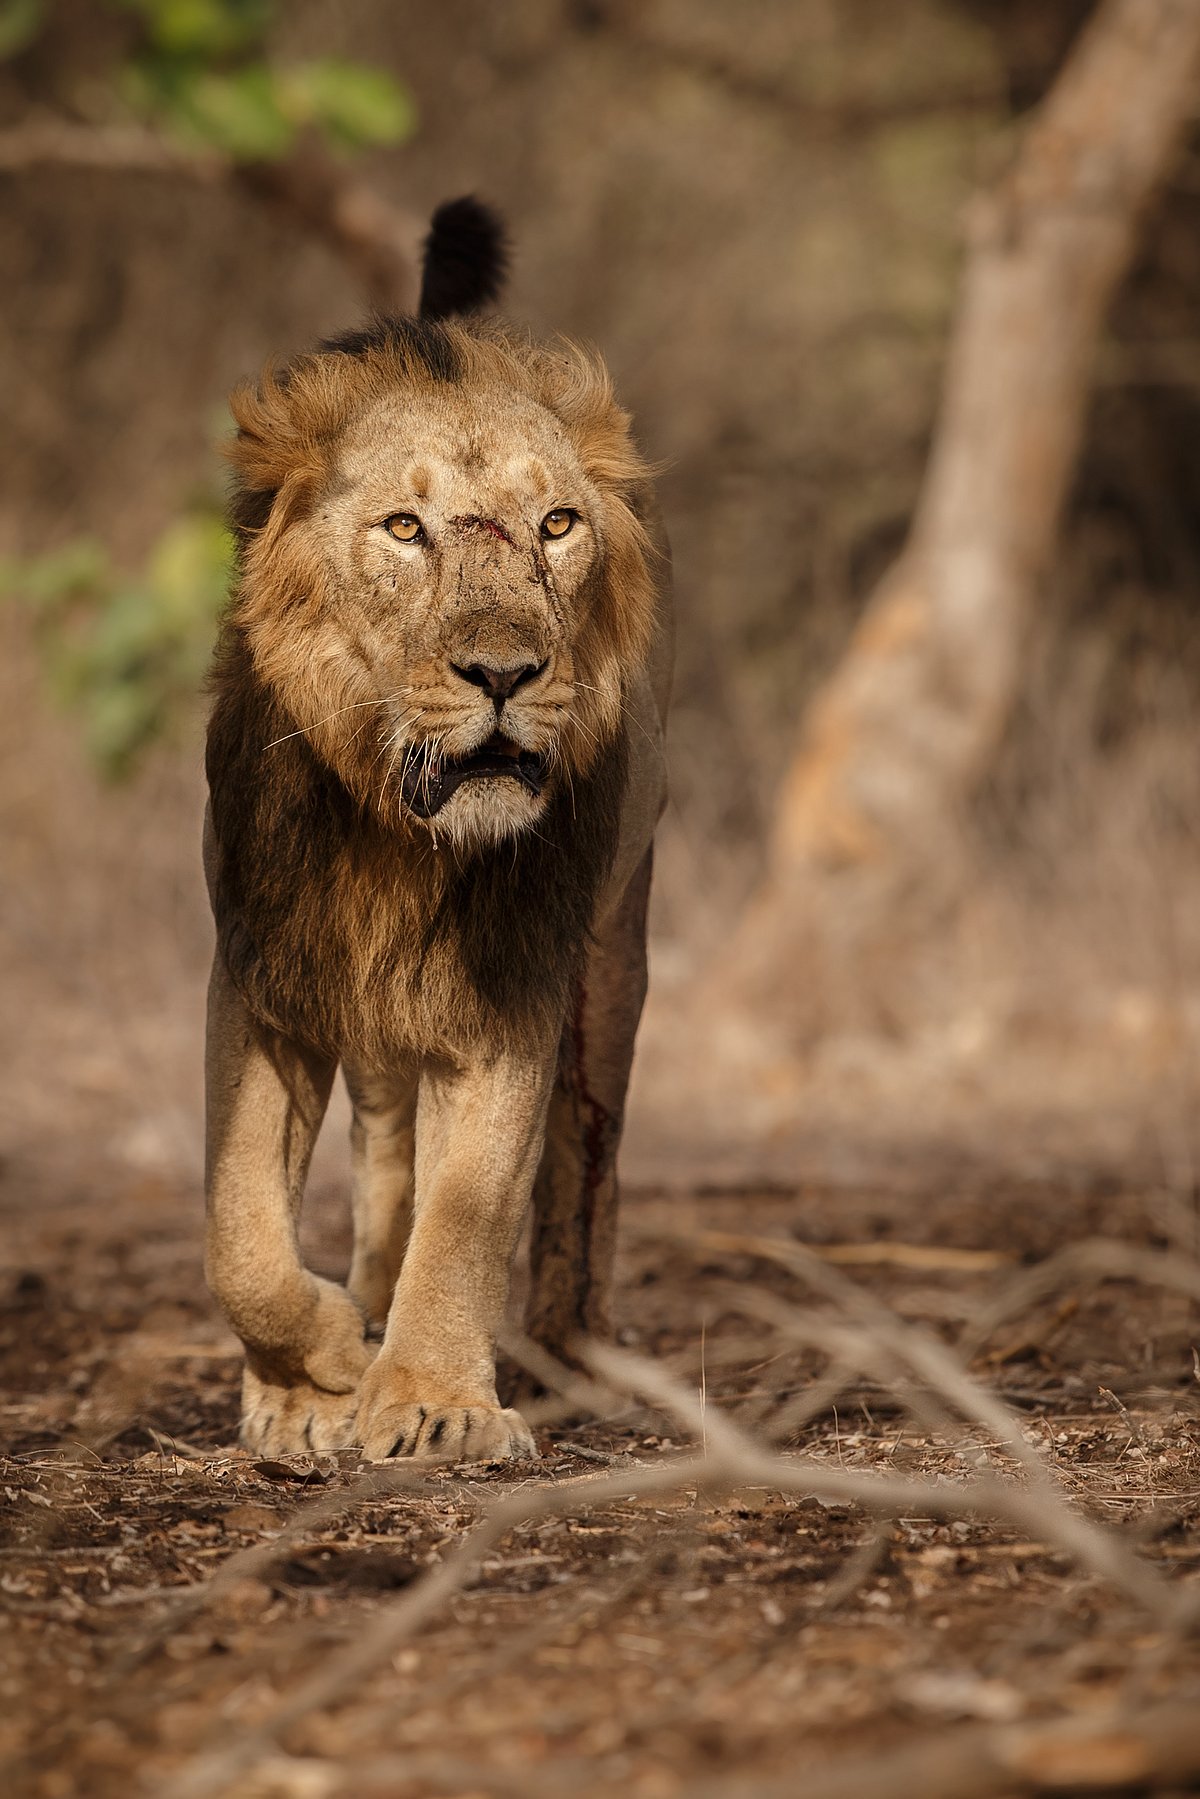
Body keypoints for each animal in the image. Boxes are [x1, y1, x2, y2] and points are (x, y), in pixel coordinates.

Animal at [203, 198, 671, 1462]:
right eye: (406, 528)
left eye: (556, 524)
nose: (505, 673)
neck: (395, 838)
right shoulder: (264, 978)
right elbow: (239, 1224)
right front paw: (312, 1370)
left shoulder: (514, 986)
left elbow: (470, 1208)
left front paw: (432, 1401)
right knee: (382, 1156)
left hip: (611, 970)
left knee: (584, 1169)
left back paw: (568, 1352)